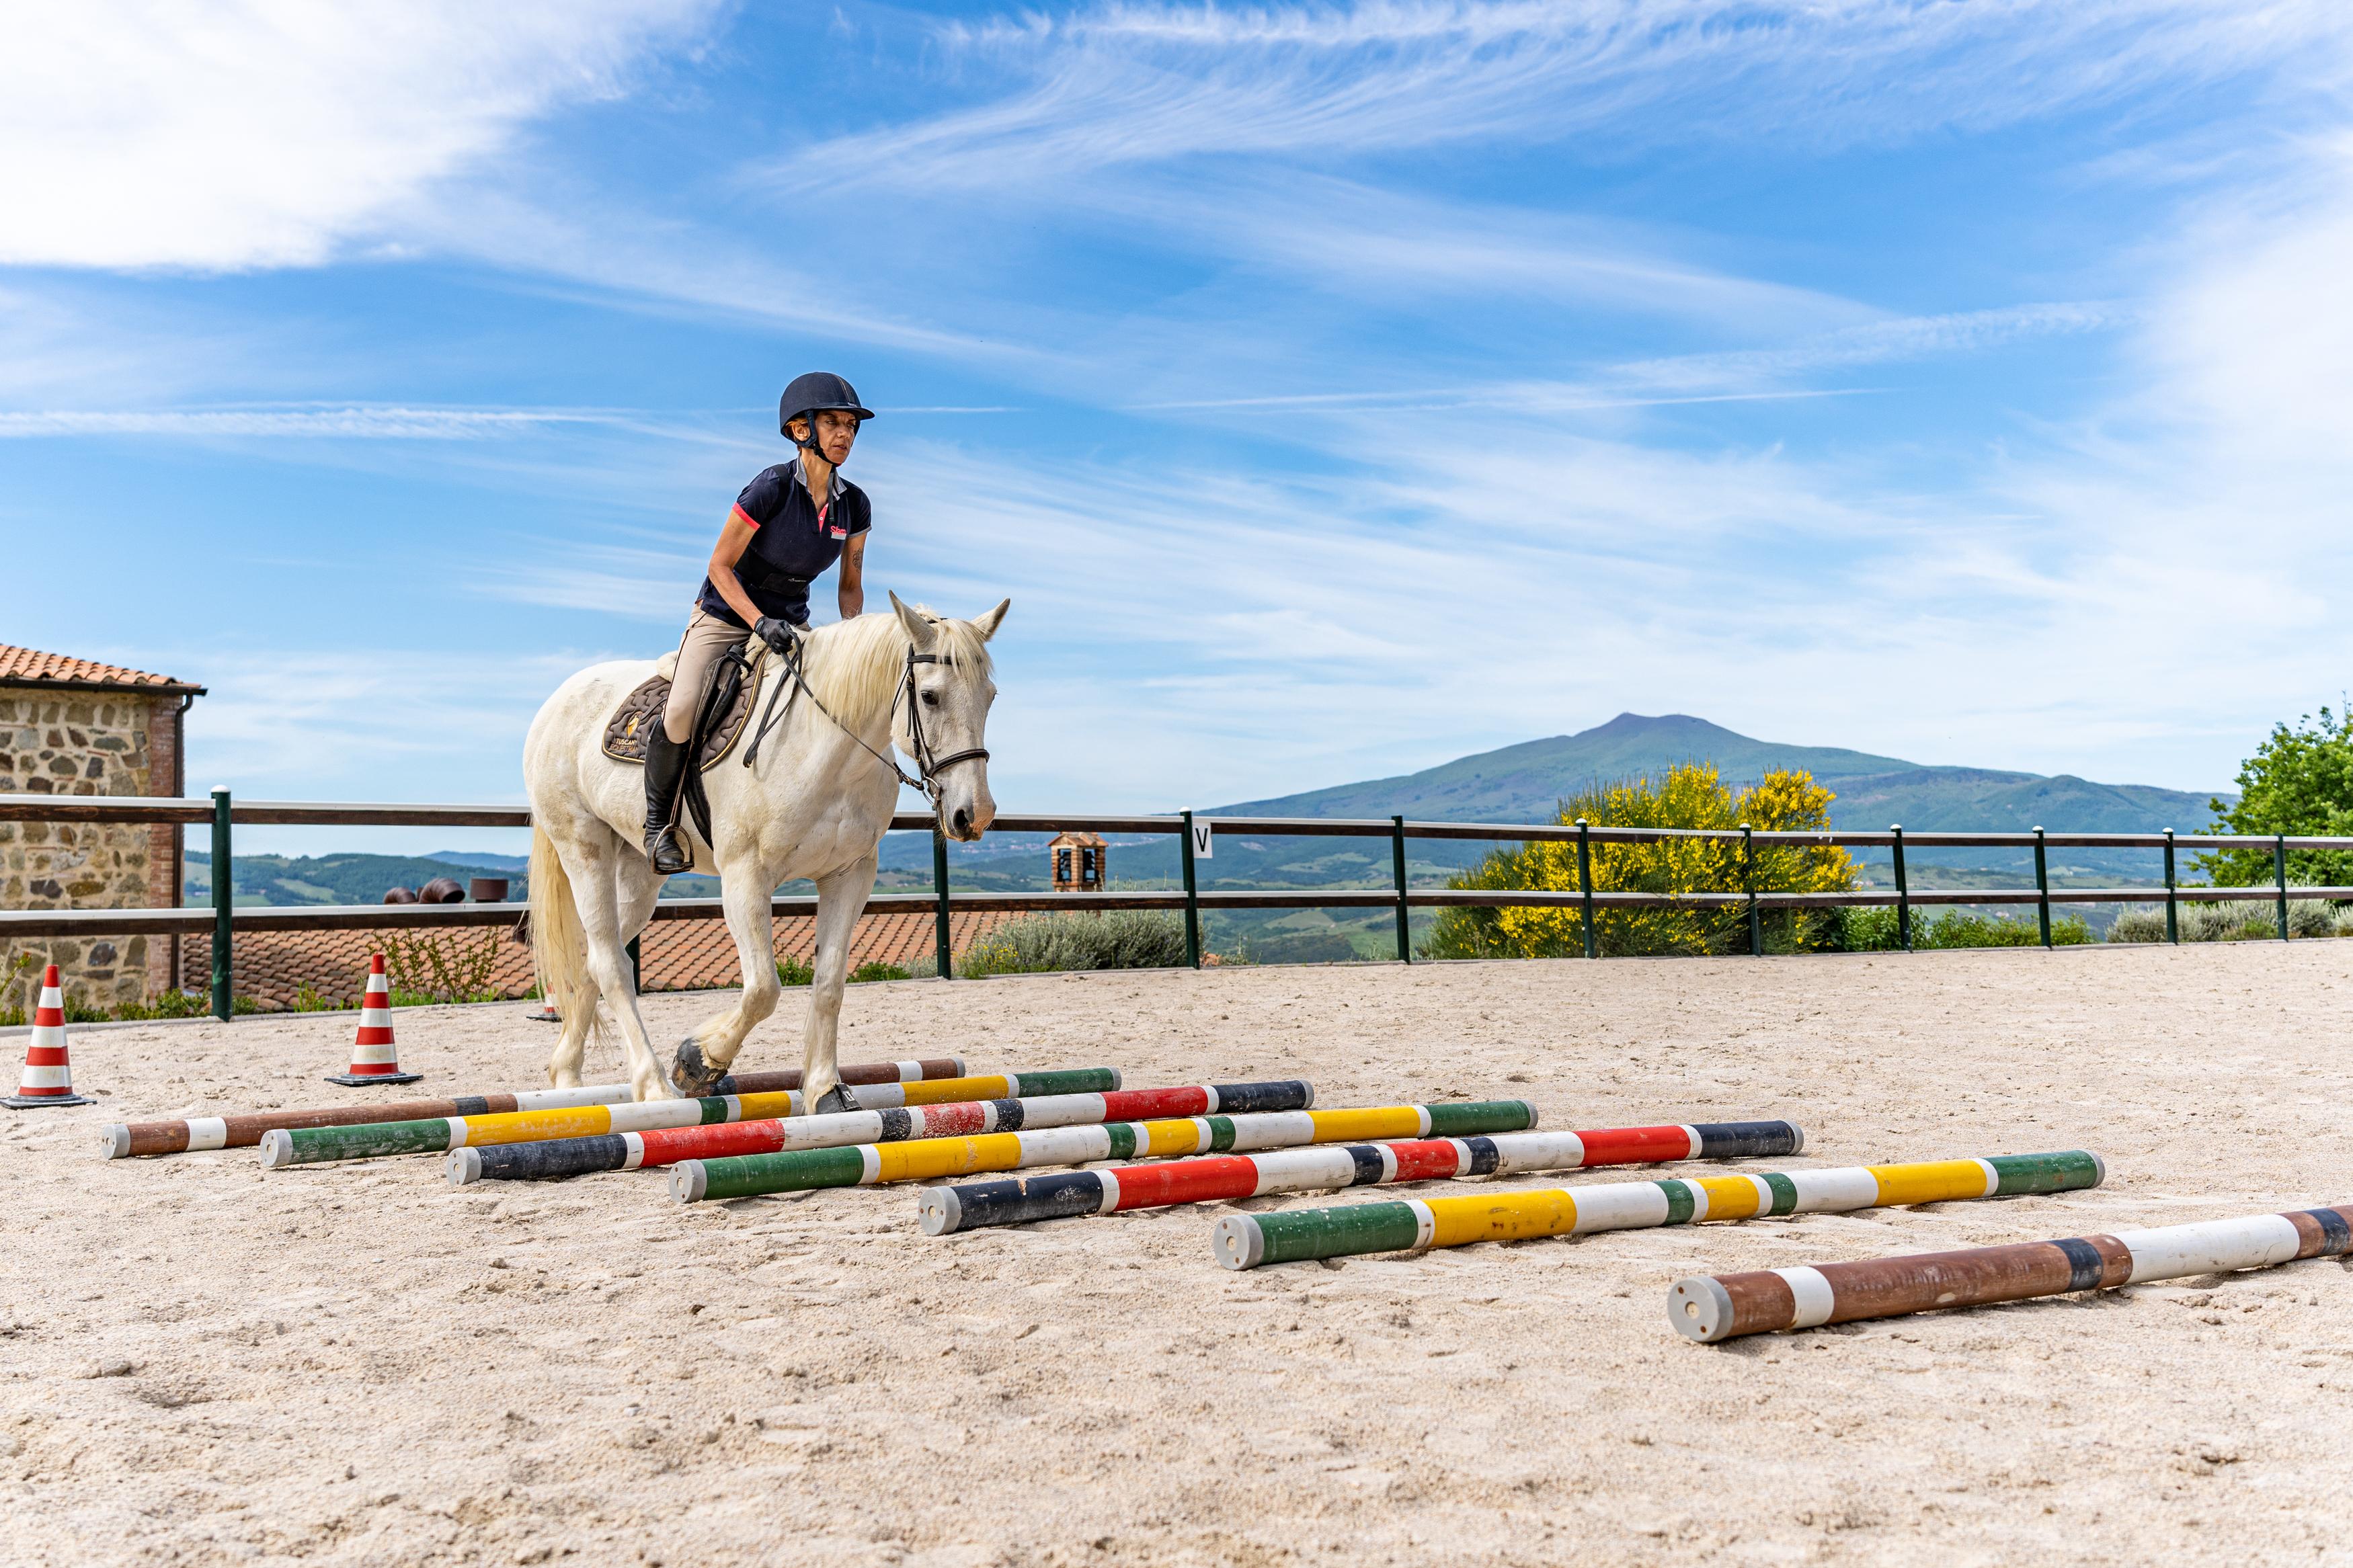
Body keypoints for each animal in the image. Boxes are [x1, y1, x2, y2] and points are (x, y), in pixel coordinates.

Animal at [520, 594, 1007, 1109]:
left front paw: (825, 1089)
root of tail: (559, 700)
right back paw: (652, 1085)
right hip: (583, 847)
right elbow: (763, 989)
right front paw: (698, 1060)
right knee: (611, 963)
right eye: (930, 696)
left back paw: (566, 1075)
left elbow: (829, 983)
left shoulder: (850, 876)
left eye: (990, 697)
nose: (973, 815)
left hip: (640, 871)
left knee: (596, 958)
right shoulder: (746, 876)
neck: (826, 747)